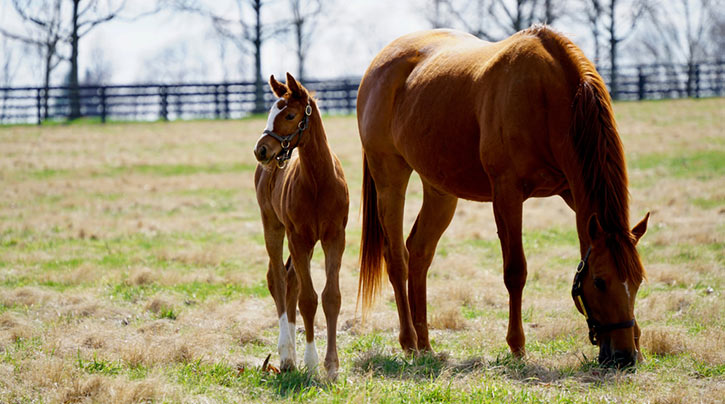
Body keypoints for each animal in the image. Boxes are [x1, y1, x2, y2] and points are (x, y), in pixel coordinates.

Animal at [253, 73, 350, 378]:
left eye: (290, 115)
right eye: (271, 111)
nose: (261, 149)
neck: (318, 181)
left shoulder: (334, 238)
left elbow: (331, 297)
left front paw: (332, 366)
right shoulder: (299, 237)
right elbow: (308, 299)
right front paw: (310, 361)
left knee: (291, 280)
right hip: (274, 227)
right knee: (278, 279)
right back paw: (286, 354)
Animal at [356, 24, 652, 366]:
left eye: (638, 280)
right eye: (600, 281)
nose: (624, 356)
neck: (549, 98)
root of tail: (378, 66)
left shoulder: (572, 191)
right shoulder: (507, 194)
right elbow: (515, 271)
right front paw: (517, 346)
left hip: (439, 190)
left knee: (419, 254)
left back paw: (425, 344)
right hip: (390, 179)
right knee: (397, 259)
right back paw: (408, 342)